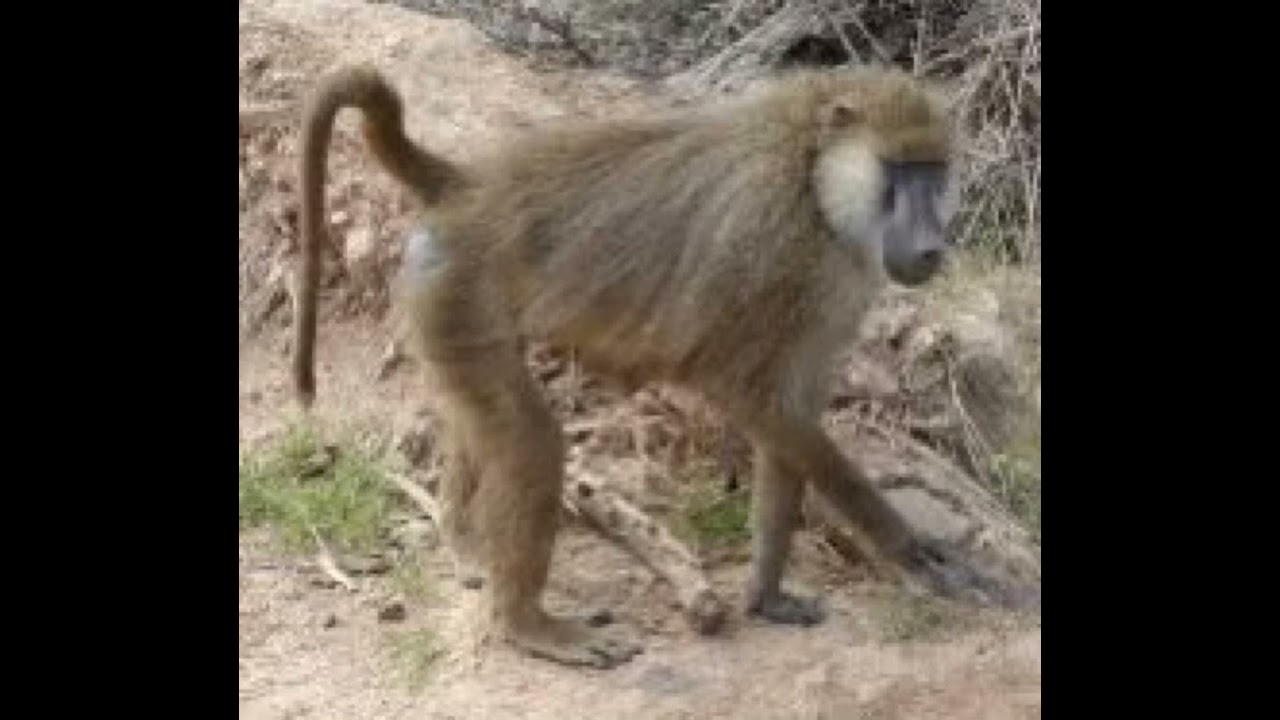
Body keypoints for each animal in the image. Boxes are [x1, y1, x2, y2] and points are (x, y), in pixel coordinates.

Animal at [294, 63, 970, 669]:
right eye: (901, 172)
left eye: (934, 173)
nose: (932, 246)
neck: (812, 178)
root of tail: (468, 188)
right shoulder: (770, 243)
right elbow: (748, 397)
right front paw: (914, 552)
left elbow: (787, 421)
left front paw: (767, 597)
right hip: (458, 289)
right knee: (532, 442)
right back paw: (528, 626)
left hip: (444, 302)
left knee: (476, 421)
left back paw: (464, 543)